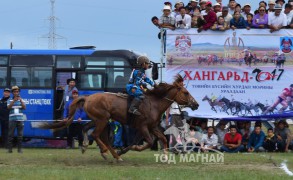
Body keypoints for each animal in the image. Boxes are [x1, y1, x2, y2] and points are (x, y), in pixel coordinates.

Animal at [40, 74, 198, 162]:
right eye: (185, 92)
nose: (195, 104)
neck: (153, 103)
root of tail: (88, 97)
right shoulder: (142, 127)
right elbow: (148, 142)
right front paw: (136, 147)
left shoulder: (152, 127)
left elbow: (163, 139)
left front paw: (165, 156)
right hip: (102, 120)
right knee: (97, 136)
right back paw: (106, 152)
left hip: (97, 120)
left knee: (87, 129)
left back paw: (98, 150)